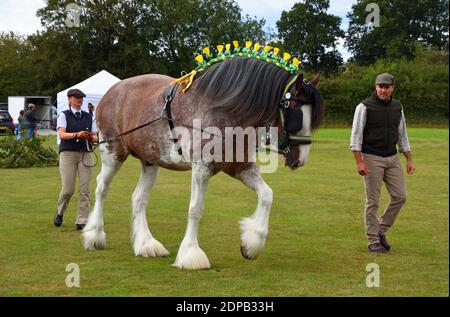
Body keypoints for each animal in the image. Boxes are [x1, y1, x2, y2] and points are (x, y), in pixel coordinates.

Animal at [82, 56, 324, 270]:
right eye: (295, 111)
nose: (300, 159)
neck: (225, 110)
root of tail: (111, 92)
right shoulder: (201, 169)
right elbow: (196, 209)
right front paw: (191, 254)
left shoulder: (240, 168)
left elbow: (267, 195)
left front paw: (251, 244)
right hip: (113, 153)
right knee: (101, 188)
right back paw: (94, 235)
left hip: (150, 161)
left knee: (139, 198)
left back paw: (146, 244)